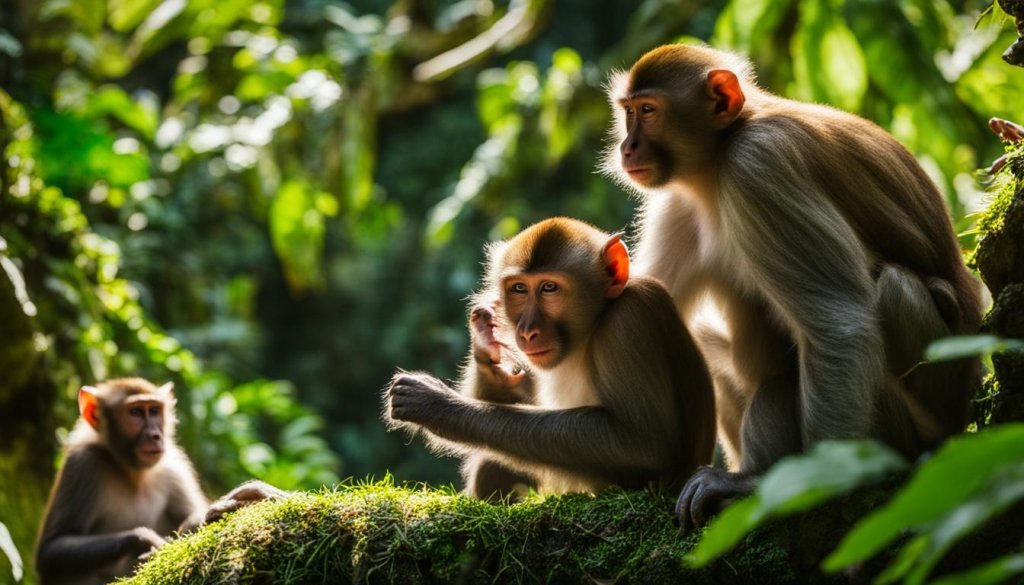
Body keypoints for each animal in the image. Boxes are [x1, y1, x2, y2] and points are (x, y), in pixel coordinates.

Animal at [36, 377, 284, 581]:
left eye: (154, 411)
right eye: (136, 412)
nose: (155, 435)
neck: (131, 471)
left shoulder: (174, 468)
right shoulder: (83, 463)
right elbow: (52, 549)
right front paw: (147, 541)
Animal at [387, 217, 716, 495]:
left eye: (549, 288)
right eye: (519, 288)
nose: (526, 331)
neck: (594, 325)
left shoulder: (628, 323)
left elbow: (645, 444)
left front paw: (439, 407)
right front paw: (488, 350)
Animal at [602, 44, 978, 532]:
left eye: (648, 112)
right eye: (627, 112)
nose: (626, 147)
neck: (718, 158)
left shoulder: (758, 167)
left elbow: (840, 325)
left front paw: (787, 484)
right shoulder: (678, 203)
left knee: (894, 290)